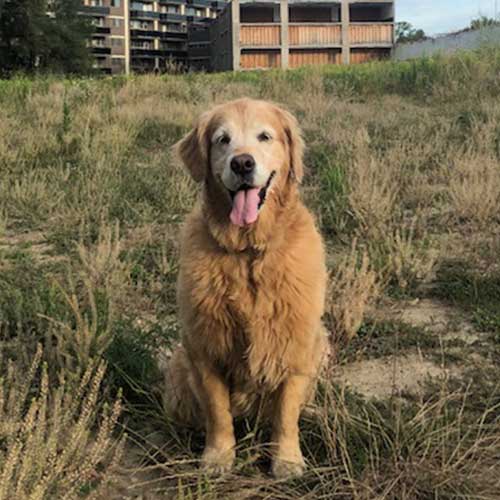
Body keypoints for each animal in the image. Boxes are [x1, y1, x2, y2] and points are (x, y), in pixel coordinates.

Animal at [166, 96, 326, 476]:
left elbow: (286, 413)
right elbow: (218, 412)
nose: (242, 163)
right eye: (222, 140)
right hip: (180, 360)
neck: (248, 251)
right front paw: (218, 456)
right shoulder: (206, 346)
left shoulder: (296, 343)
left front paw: (287, 459)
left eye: (264, 136)